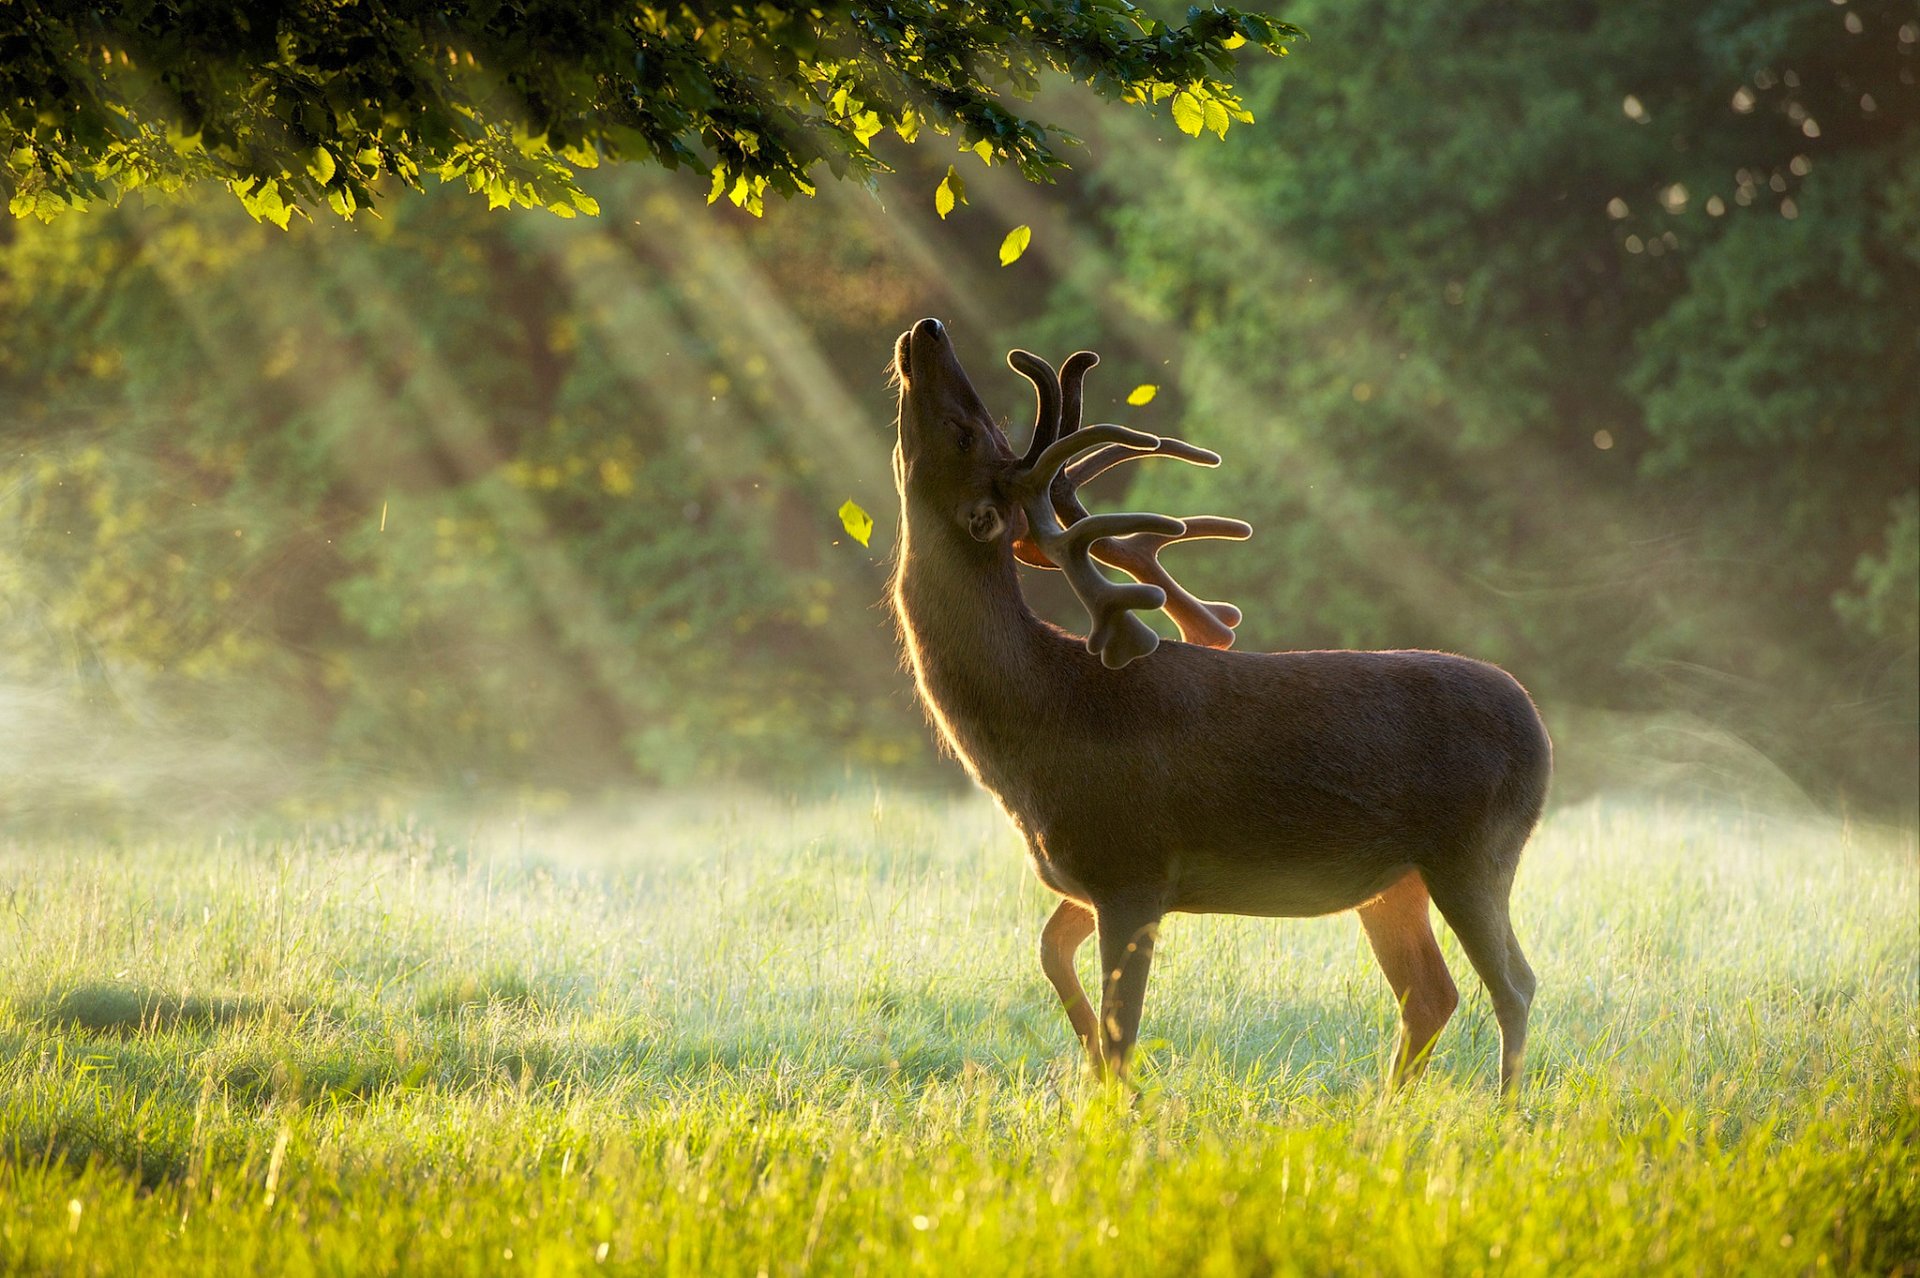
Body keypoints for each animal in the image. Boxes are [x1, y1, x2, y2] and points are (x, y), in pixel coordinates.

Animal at [887, 317, 1551, 1093]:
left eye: (966, 432)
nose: (928, 329)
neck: (1037, 726)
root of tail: (1539, 729)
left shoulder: (1132, 864)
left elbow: (1122, 1027)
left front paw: (1115, 1097)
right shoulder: (1091, 874)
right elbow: (1052, 953)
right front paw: (1095, 1071)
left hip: (1476, 848)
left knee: (1513, 984)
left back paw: (1503, 1111)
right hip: (1394, 882)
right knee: (1430, 993)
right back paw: (1389, 1109)